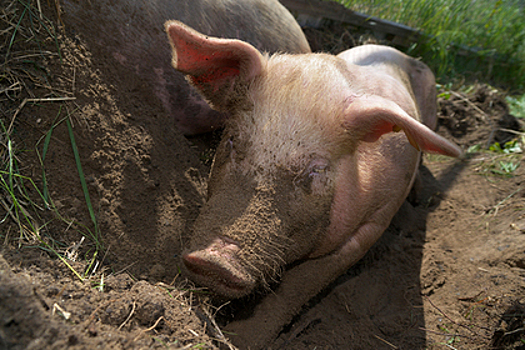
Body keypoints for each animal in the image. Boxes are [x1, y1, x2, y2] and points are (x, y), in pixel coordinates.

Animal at [166, 20, 460, 348]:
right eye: (232, 139)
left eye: (317, 169)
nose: (214, 260)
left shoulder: (372, 224)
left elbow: (298, 286)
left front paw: (241, 339)